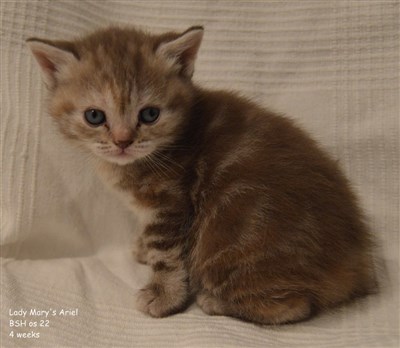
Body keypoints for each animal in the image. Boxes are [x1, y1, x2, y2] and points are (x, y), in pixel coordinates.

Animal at [28, 25, 376, 324]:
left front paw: (164, 295)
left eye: (150, 114)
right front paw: (142, 248)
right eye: (94, 116)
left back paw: (215, 302)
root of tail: (353, 263)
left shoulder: (170, 204)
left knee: (296, 305)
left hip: (229, 242)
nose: (123, 141)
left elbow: (167, 255)